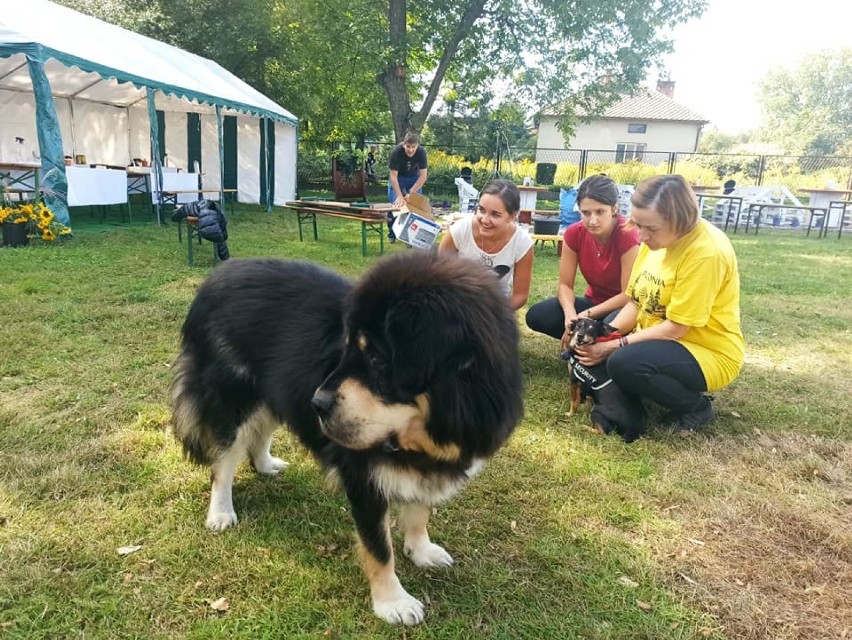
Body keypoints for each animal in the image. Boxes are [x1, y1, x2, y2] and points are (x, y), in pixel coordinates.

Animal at [170, 251, 524, 624]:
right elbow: (379, 548)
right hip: (232, 401)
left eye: (377, 358)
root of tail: (216, 276)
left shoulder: (427, 465)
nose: (317, 403)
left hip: (272, 391)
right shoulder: (363, 478)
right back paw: (221, 511)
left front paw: (421, 549)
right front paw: (392, 602)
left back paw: (265, 464)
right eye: (346, 350)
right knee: (222, 463)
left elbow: (419, 510)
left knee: (261, 430)